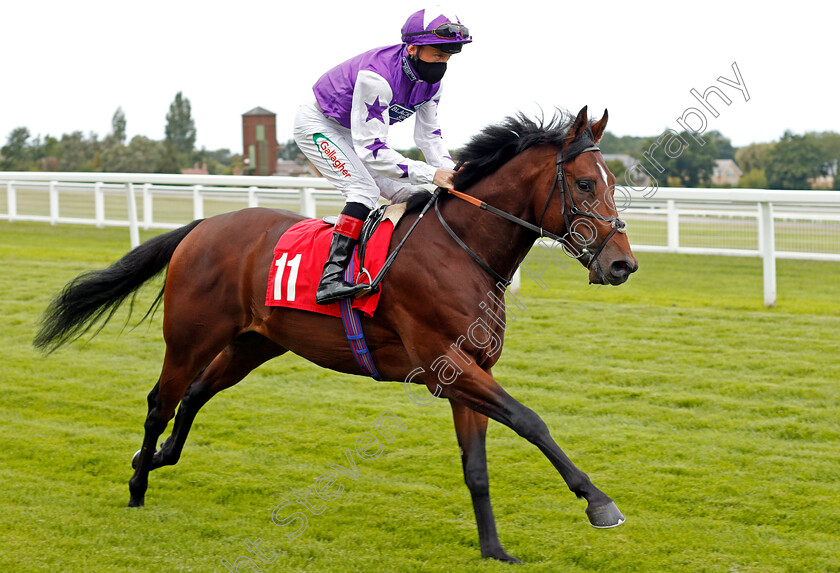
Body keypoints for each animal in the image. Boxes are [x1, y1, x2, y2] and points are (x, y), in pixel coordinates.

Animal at [34, 105, 636, 560]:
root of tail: (202, 226)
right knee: (162, 400)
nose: (622, 265)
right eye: (585, 183)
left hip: (254, 342)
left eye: (614, 182)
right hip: (189, 335)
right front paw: (599, 502)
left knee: (196, 394)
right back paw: (138, 483)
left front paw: (494, 549)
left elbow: (477, 467)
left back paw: (156, 458)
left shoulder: (470, 370)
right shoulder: (445, 365)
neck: (460, 251)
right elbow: (531, 420)